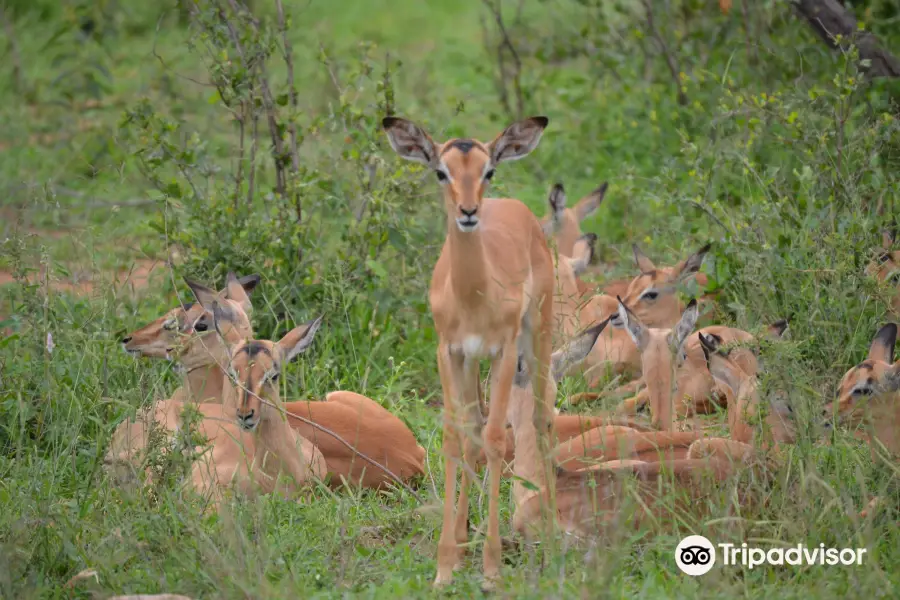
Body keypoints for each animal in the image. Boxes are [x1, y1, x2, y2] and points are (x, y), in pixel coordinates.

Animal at [384, 115, 556, 588]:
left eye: (488, 170)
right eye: (440, 172)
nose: (468, 212)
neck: (474, 295)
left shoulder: (503, 352)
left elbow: (497, 440)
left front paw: (492, 568)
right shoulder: (450, 352)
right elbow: (454, 438)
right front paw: (446, 565)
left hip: (538, 333)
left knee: (540, 418)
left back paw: (550, 532)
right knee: (474, 431)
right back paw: (463, 538)